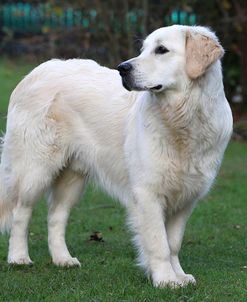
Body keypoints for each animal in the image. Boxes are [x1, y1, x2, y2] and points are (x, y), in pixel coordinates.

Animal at [0, 24, 232, 286]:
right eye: (143, 49)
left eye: (161, 50)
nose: (123, 68)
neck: (183, 119)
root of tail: (35, 72)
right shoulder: (148, 193)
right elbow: (159, 243)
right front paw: (165, 280)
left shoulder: (186, 198)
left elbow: (173, 243)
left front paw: (180, 276)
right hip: (35, 169)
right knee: (21, 212)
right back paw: (18, 257)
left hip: (72, 178)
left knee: (55, 215)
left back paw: (63, 259)